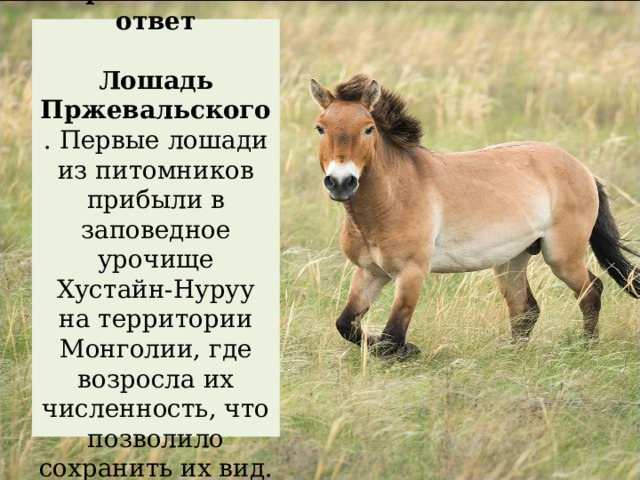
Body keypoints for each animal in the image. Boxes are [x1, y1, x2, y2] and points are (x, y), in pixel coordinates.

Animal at [309, 73, 640, 358]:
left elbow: (393, 336)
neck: (390, 199)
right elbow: (346, 324)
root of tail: (583, 169)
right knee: (525, 310)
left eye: (368, 128)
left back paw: (587, 348)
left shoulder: (411, 273)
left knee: (591, 291)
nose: (341, 182)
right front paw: (397, 348)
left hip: (562, 257)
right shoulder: (370, 272)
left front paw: (407, 351)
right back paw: (514, 358)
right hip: (511, 260)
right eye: (320, 128)